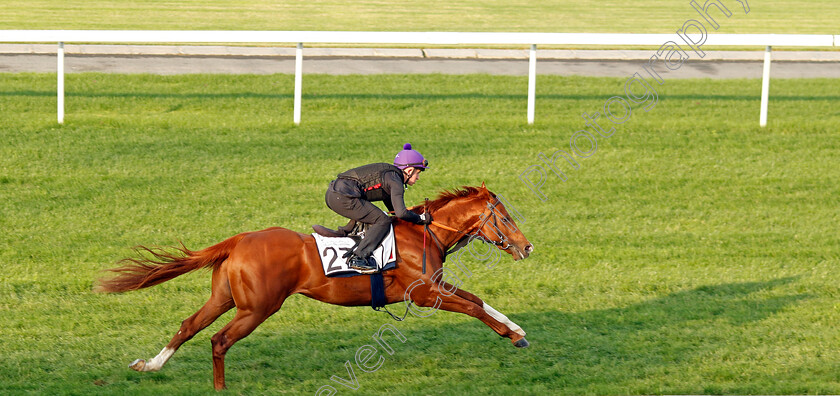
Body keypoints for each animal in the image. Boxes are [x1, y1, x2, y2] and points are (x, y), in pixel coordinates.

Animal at [97, 185, 532, 390]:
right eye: (505, 217)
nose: (527, 247)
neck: (426, 232)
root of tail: (239, 240)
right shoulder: (426, 294)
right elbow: (472, 307)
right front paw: (512, 335)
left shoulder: (435, 288)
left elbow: (478, 300)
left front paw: (517, 332)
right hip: (258, 308)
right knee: (219, 341)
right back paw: (220, 388)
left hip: (224, 298)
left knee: (189, 326)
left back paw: (150, 365)